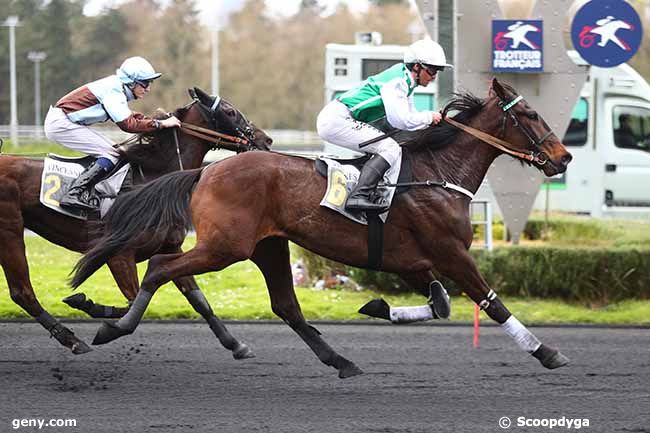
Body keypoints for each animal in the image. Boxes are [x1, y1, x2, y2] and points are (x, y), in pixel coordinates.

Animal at [0, 87, 270, 354]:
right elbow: (133, 301)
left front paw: (234, 344)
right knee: (22, 292)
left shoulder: (170, 248)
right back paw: (72, 339)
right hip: (10, 231)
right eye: (230, 112)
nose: (266, 140)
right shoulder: (119, 254)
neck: (150, 178)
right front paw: (87, 305)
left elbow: (198, 301)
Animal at [73, 79, 572, 376]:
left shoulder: (413, 261)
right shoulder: (452, 254)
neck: (437, 173)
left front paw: (378, 307)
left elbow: (441, 304)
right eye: (530, 115)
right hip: (226, 246)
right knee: (160, 267)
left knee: (285, 306)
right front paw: (547, 352)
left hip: (268, 246)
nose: (564, 157)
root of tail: (205, 171)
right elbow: (491, 302)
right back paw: (112, 327)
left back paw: (340, 360)